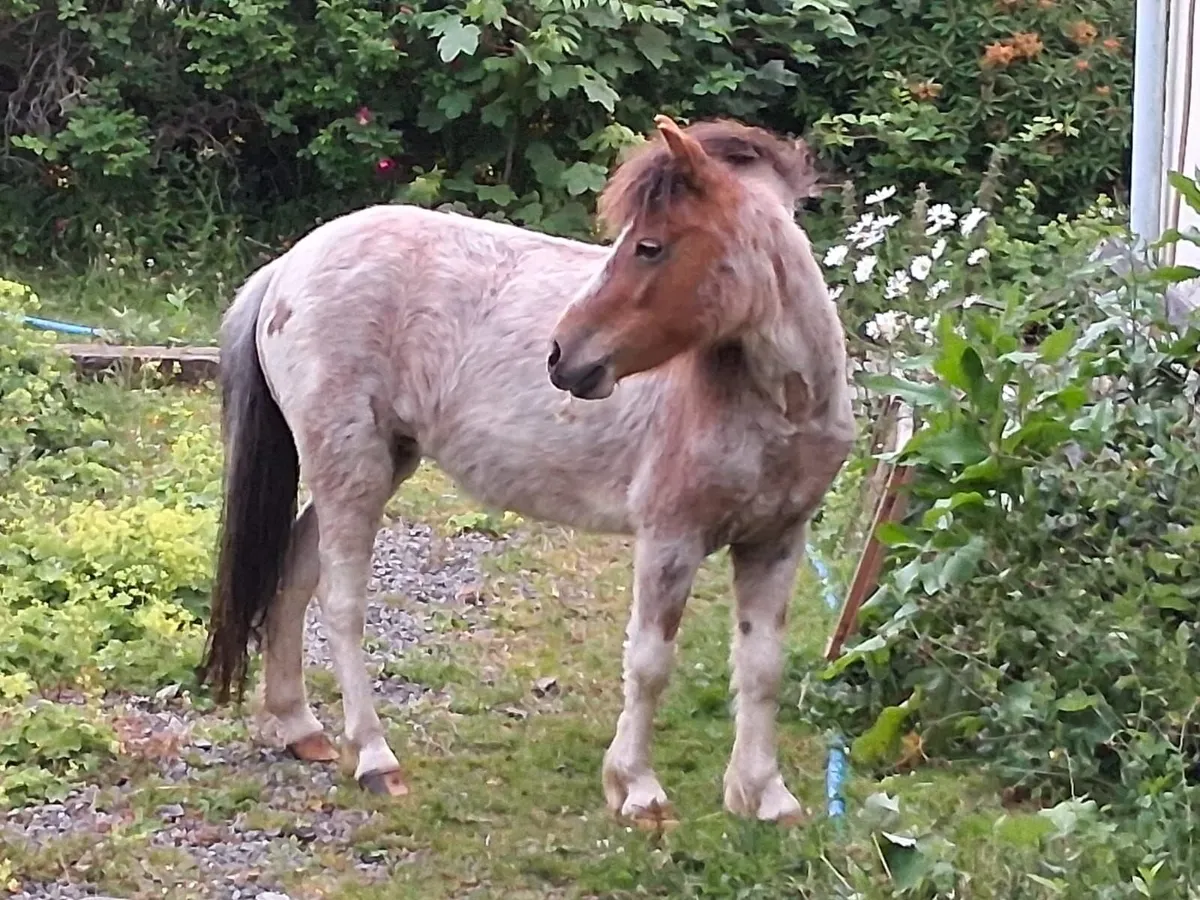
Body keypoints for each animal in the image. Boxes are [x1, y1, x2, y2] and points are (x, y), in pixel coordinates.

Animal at [199, 114, 856, 826]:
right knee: (341, 602)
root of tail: (288, 266)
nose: (563, 355)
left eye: (650, 247)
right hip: (350, 465)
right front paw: (638, 790)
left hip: (378, 460)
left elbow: (762, 667)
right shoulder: (670, 539)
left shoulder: (777, 540)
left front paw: (765, 795)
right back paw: (373, 757)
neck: (776, 406)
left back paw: (299, 727)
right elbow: (650, 662)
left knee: (295, 572)